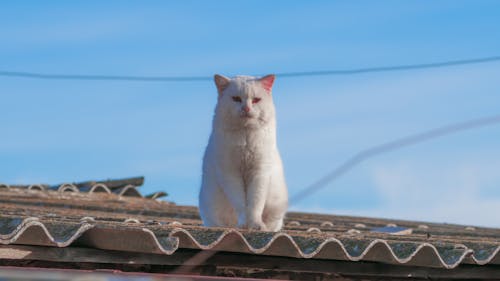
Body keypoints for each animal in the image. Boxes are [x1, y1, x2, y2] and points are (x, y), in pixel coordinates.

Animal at [197, 74, 288, 230]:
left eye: (256, 100)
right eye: (236, 99)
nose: (246, 107)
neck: (245, 139)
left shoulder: (259, 172)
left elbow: (255, 203)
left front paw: (256, 225)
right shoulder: (230, 173)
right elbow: (240, 203)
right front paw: (243, 225)